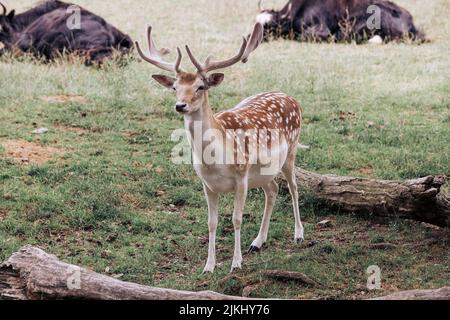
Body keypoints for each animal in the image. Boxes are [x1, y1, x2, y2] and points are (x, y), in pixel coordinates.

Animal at [136, 23, 306, 272]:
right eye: (175, 87)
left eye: (200, 86)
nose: (180, 105)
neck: (215, 161)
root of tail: (291, 97)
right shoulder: (207, 184)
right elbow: (211, 223)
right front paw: (209, 265)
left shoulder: (242, 176)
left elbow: (236, 218)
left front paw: (236, 263)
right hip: (263, 172)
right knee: (273, 189)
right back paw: (257, 241)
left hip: (290, 151)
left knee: (293, 188)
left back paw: (299, 234)